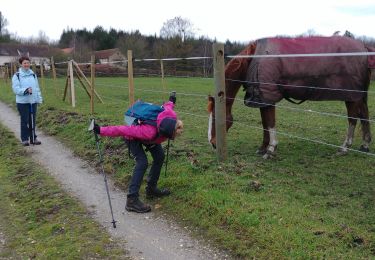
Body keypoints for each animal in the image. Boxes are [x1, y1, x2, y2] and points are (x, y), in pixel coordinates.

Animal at [207, 35, 374, 158]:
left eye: (215, 116)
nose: (213, 143)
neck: (254, 59)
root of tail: (364, 47)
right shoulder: (262, 98)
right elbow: (265, 123)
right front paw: (263, 147)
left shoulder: (268, 97)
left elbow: (270, 122)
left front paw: (271, 149)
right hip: (359, 96)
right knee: (364, 114)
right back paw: (365, 145)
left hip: (351, 96)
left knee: (352, 119)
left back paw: (344, 147)